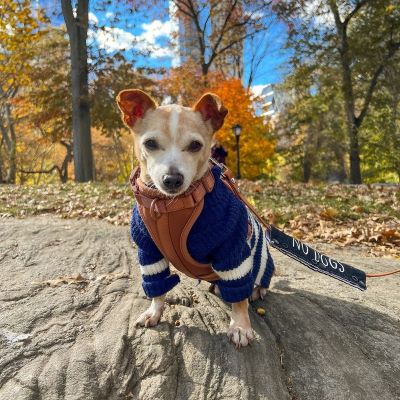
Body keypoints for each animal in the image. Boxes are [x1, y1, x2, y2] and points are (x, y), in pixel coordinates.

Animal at [115, 90, 276, 346]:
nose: (172, 179)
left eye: (195, 145)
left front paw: (240, 325)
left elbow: (238, 295)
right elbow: (157, 286)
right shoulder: (149, 251)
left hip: (260, 265)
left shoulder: (232, 252)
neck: (169, 206)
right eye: (150, 143)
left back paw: (256, 289)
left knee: (255, 283)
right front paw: (154, 312)